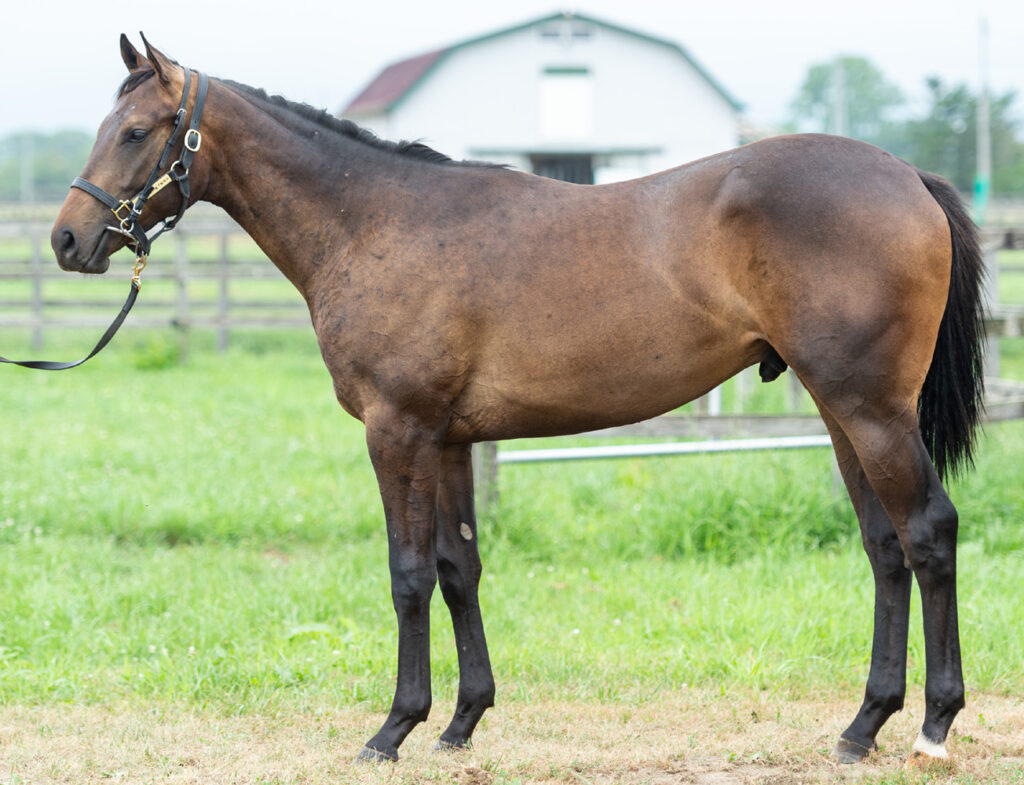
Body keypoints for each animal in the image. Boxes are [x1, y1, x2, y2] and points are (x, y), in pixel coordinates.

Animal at [51, 36, 987, 769]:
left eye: (136, 132)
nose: (68, 238)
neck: (376, 221)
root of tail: (907, 175)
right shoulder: (450, 439)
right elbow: (458, 569)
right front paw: (462, 720)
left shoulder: (398, 431)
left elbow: (407, 574)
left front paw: (393, 727)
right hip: (841, 413)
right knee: (886, 548)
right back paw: (862, 725)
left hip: (871, 411)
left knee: (929, 531)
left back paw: (934, 725)